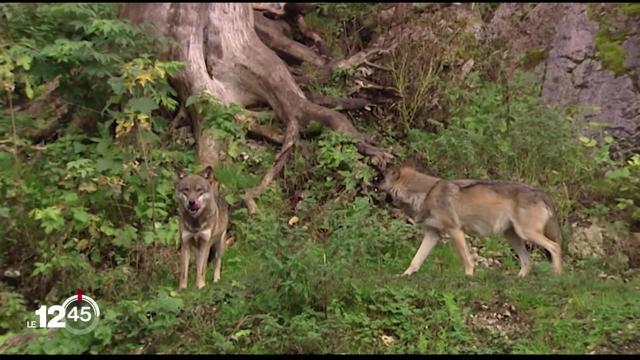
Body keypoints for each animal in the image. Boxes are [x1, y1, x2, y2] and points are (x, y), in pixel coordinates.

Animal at [378, 164, 564, 278]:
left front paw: (468, 278)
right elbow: (415, 260)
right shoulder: (433, 234)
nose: (374, 184)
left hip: (526, 234)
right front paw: (404, 276)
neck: (427, 193)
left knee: (555, 247)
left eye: (381, 180)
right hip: (512, 237)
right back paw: (518, 280)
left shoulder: (455, 231)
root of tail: (542, 193)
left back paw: (556, 276)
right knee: (528, 262)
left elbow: (466, 259)